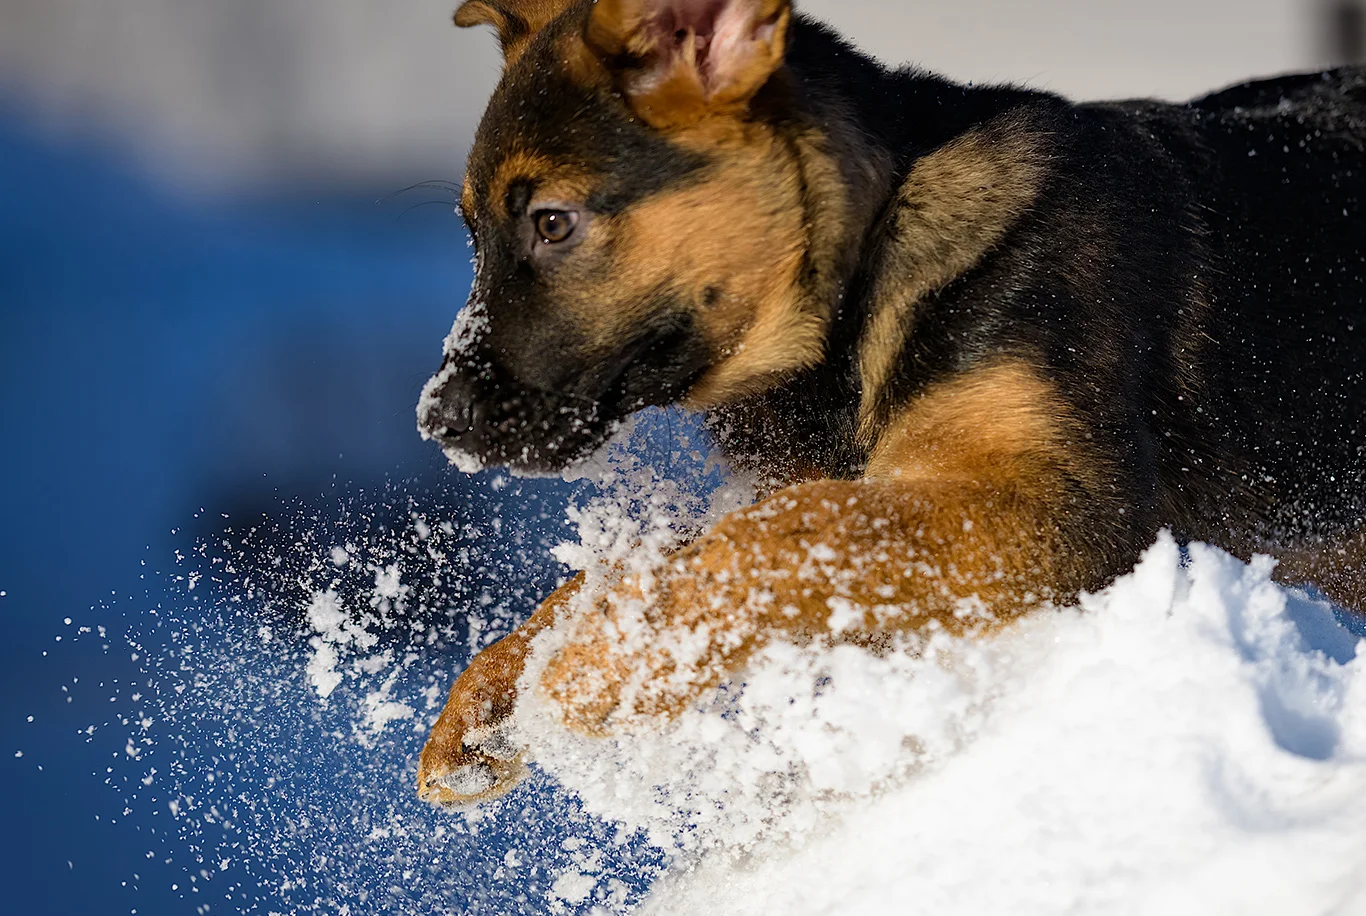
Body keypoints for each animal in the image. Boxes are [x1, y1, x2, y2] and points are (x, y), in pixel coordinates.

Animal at [409, 0, 1366, 808]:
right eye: (473, 233)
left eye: (553, 223)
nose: (437, 422)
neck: (870, 257)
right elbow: (659, 563)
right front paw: (492, 697)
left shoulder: (1065, 509)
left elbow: (781, 534)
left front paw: (601, 668)